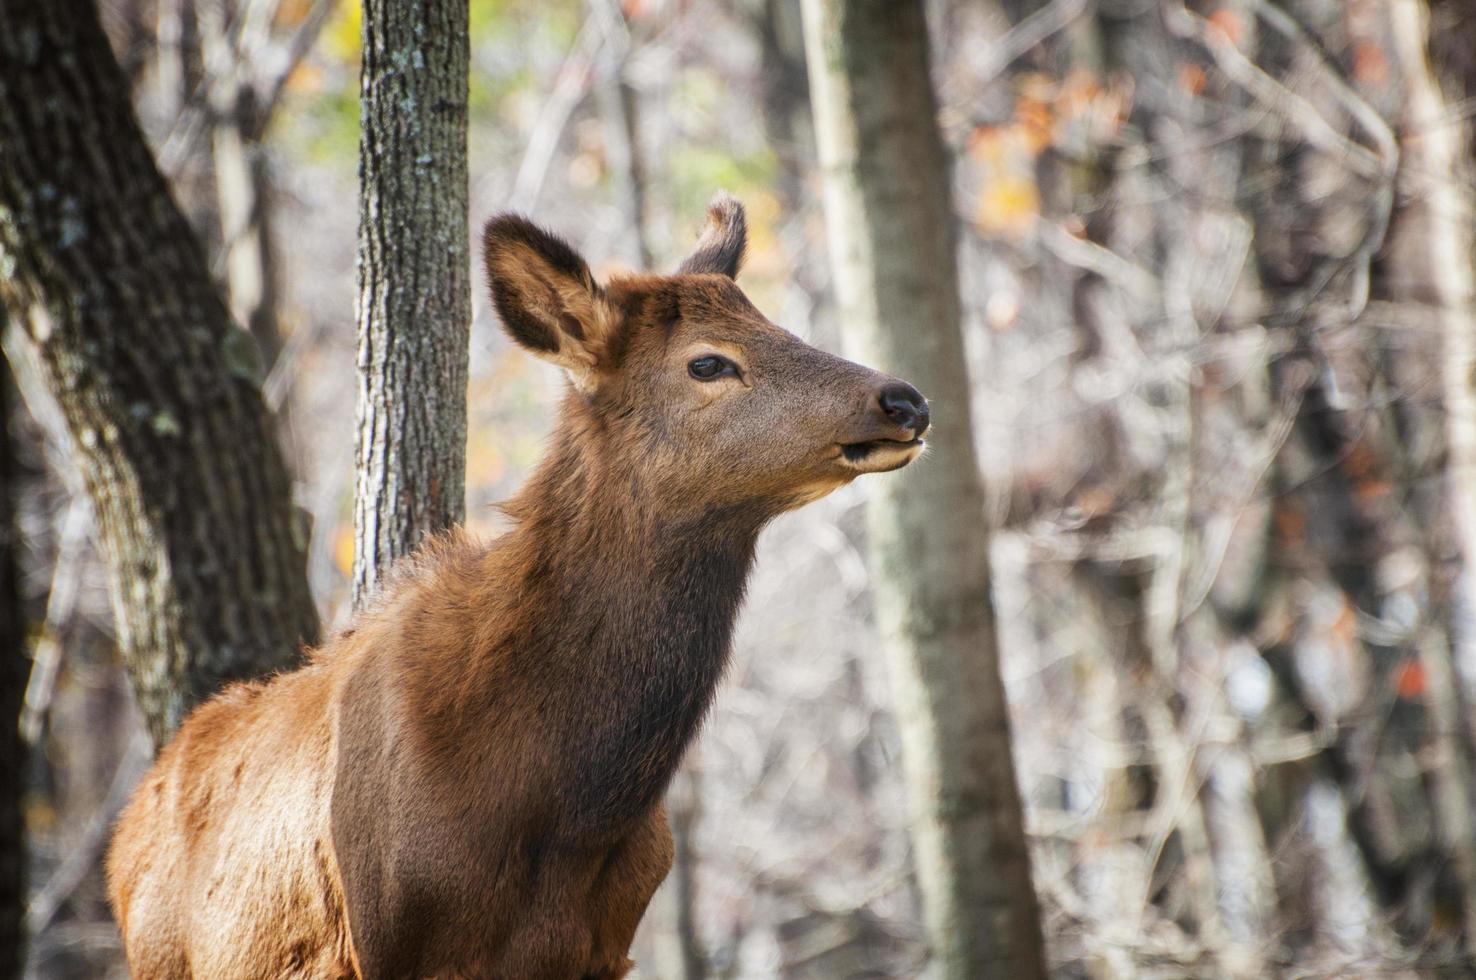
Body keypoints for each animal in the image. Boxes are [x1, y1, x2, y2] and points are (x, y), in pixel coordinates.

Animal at [107, 194, 932, 974]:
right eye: (708, 363)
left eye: (779, 326)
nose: (906, 400)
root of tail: (125, 837)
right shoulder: (377, 947)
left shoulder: (604, 950)